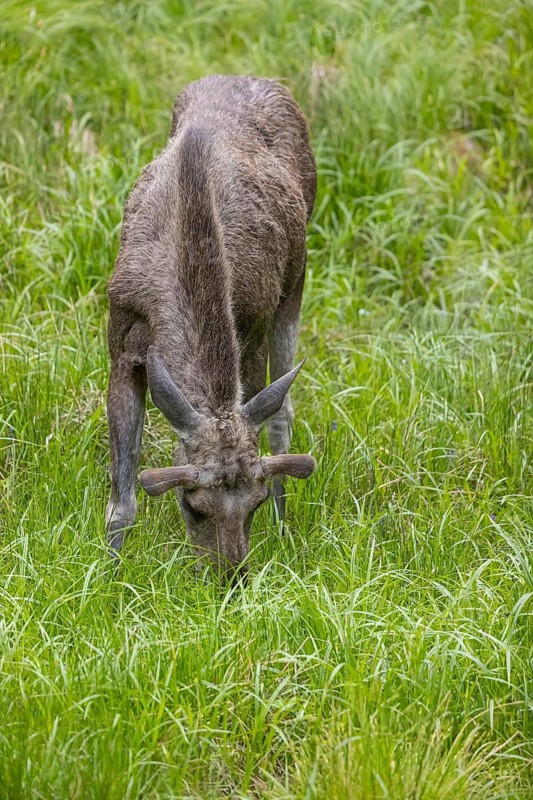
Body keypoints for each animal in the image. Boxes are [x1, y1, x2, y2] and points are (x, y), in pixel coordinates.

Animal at [105, 75, 316, 578]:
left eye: (254, 503)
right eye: (192, 506)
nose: (232, 578)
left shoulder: (253, 330)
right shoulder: (120, 344)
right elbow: (122, 498)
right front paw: (109, 574)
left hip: (296, 280)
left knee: (283, 413)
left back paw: (285, 528)